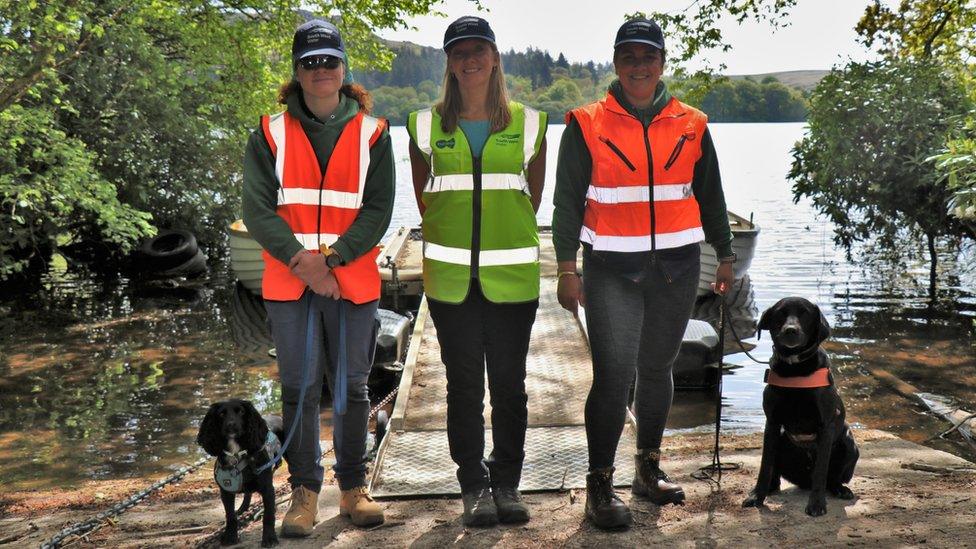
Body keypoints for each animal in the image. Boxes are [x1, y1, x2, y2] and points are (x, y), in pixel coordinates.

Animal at [197, 398, 282, 544]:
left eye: (241, 411)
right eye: (221, 414)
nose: (231, 425)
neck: (236, 454)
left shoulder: (268, 489)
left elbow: (268, 515)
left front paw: (269, 538)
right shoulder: (225, 492)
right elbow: (230, 516)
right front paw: (230, 536)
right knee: (247, 493)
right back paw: (243, 508)